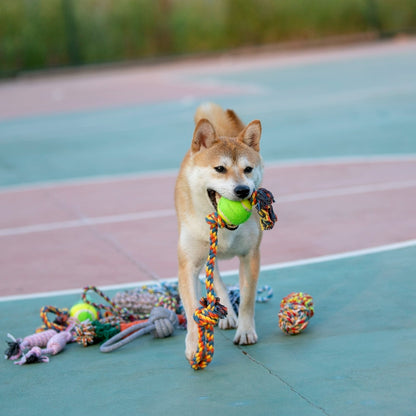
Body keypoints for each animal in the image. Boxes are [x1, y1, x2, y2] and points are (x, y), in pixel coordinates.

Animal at [175, 101, 264, 360]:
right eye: (219, 168)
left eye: (248, 169)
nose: (243, 190)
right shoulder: (188, 264)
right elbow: (191, 307)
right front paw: (194, 344)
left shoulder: (251, 255)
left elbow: (247, 298)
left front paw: (246, 331)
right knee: (214, 277)